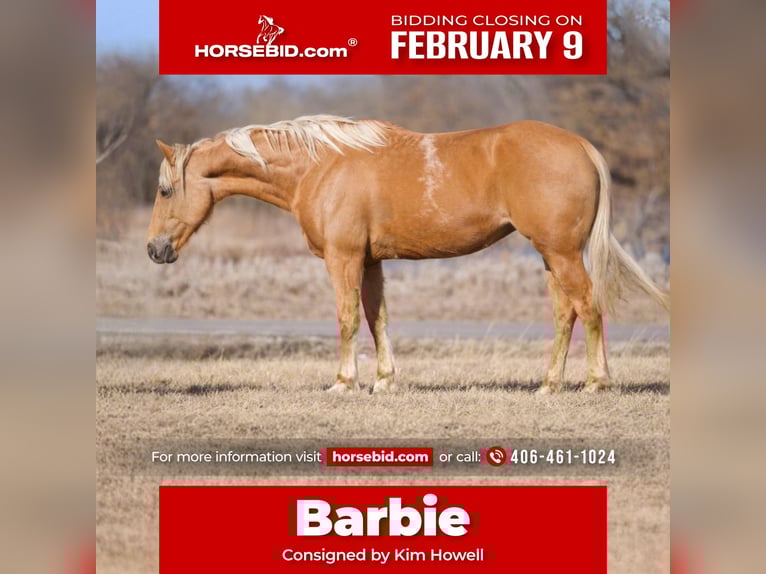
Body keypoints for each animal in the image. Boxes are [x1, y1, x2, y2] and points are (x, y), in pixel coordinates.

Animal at [146, 115, 669, 394]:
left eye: (166, 190)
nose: (154, 249)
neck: (321, 166)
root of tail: (580, 145)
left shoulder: (343, 258)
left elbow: (347, 319)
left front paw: (344, 382)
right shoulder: (371, 261)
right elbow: (376, 318)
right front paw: (383, 380)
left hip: (561, 253)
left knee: (589, 307)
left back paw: (596, 382)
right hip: (550, 255)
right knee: (566, 313)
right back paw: (548, 385)